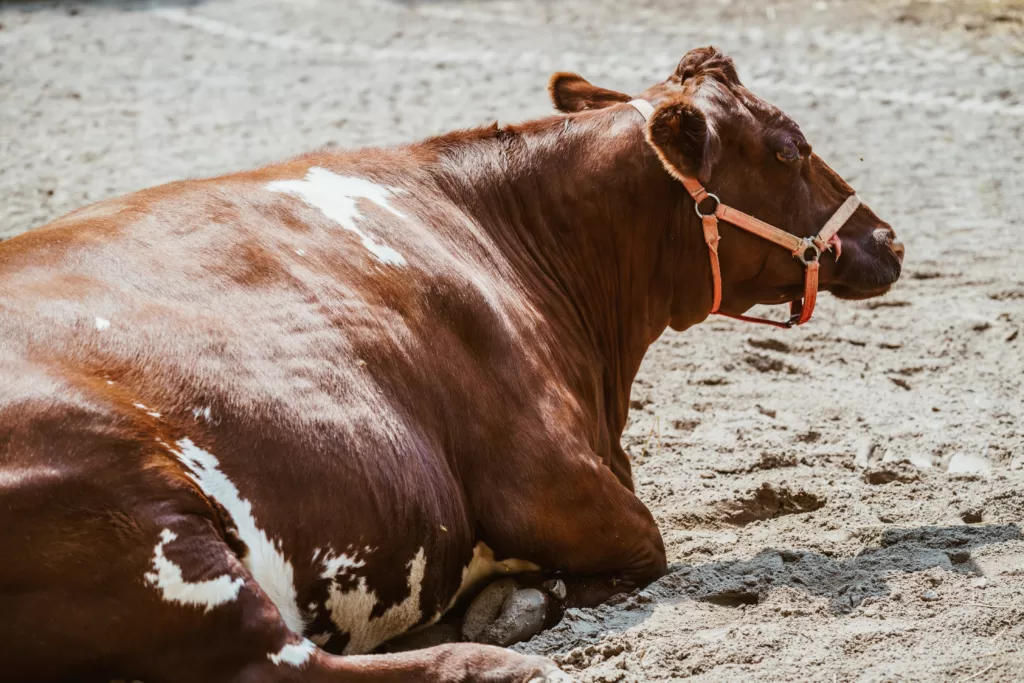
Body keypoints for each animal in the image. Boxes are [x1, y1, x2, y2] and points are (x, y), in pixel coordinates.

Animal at [0, 49, 905, 683]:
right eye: (788, 149)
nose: (889, 238)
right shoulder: (549, 480)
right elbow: (648, 547)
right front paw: (515, 602)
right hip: (154, 521)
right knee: (281, 662)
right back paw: (503, 662)